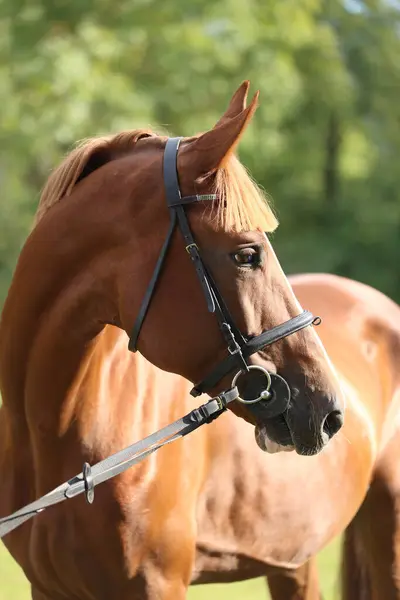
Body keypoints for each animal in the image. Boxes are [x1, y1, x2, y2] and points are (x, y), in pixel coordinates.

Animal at [0, 81, 394, 600]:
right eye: (247, 254)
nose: (329, 411)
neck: (55, 438)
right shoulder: (48, 589)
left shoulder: (158, 585)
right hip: (294, 558)